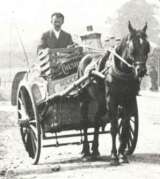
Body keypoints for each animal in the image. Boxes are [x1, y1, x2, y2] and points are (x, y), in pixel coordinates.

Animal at [77, 21, 150, 165]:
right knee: (84, 122)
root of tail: (85, 57)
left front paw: (122, 154)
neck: (122, 71)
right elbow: (114, 127)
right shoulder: (112, 100)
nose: (141, 70)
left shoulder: (129, 100)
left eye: (147, 48)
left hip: (100, 101)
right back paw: (86, 151)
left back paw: (95, 150)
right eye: (132, 49)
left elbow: (125, 127)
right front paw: (114, 155)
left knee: (96, 120)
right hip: (84, 99)